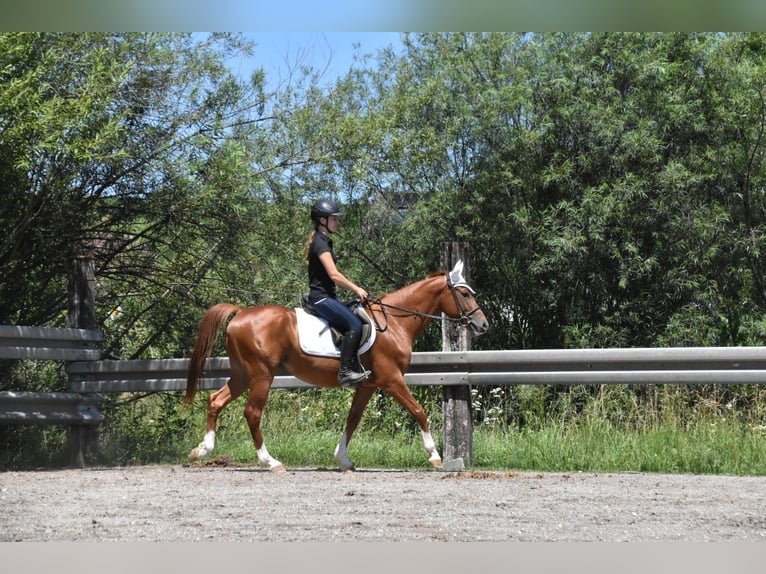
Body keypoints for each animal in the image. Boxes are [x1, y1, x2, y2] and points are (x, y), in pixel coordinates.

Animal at [184, 260, 488, 472]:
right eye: (464, 294)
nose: (482, 324)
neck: (394, 322)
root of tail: (240, 313)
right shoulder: (391, 379)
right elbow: (418, 411)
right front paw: (435, 456)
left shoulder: (368, 384)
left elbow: (352, 419)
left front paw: (343, 459)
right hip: (261, 375)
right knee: (252, 413)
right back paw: (270, 461)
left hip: (242, 374)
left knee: (215, 400)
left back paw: (202, 450)